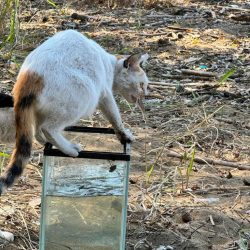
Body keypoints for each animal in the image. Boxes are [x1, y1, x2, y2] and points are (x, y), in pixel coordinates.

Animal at [0, 28, 148, 193]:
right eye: (142, 84)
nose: (146, 94)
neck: (109, 64)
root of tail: (28, 78)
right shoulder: (105, 94)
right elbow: (115, 117)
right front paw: (125, 135)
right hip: (84, 93)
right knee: (48, 128)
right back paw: (69, 149)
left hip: (40, 111)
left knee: (37, 130)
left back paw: (48, 143)